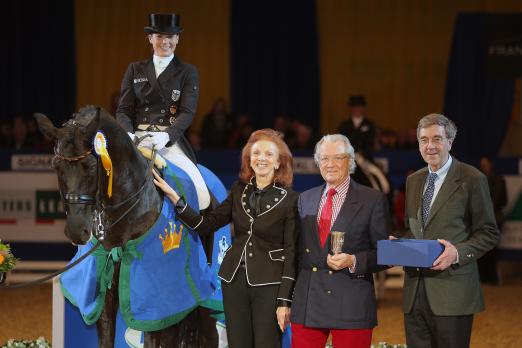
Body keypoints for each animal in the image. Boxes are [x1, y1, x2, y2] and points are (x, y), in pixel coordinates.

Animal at [35, 106, 216, 348]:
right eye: (56, 166)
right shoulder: (104, 287)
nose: (76, 231)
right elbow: (106, 334)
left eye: (90, 166)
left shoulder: (153, 298)